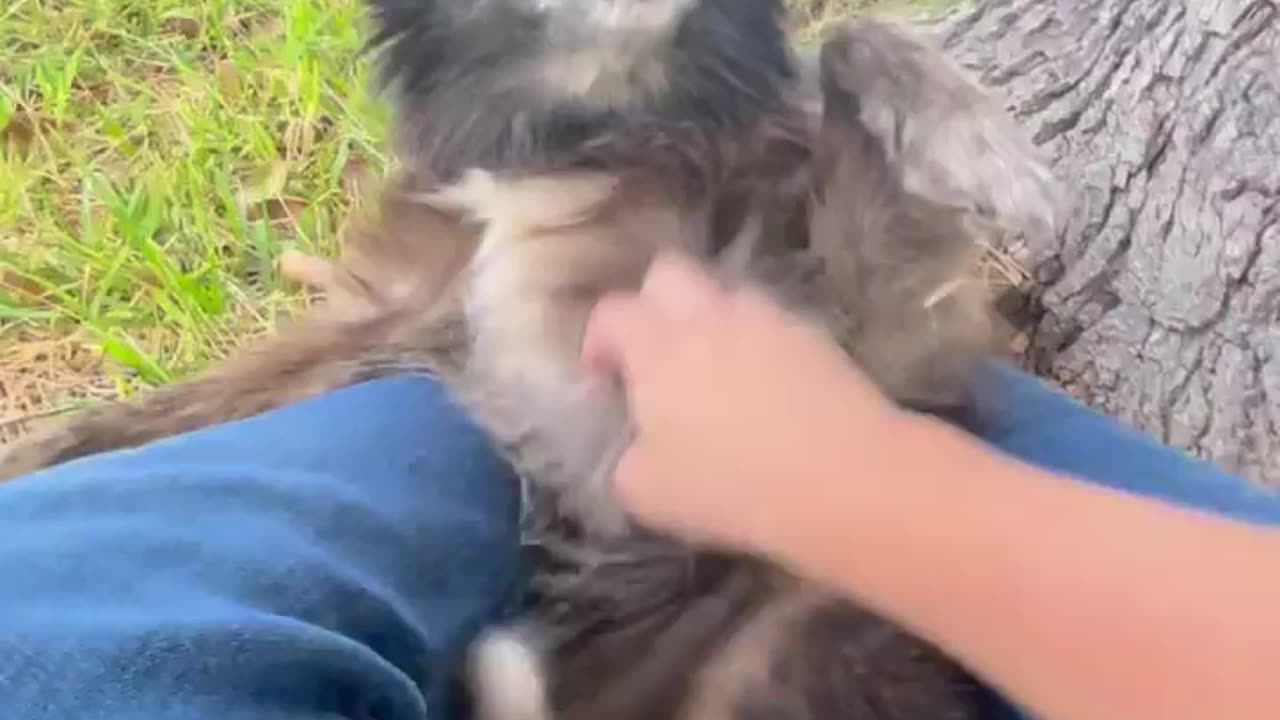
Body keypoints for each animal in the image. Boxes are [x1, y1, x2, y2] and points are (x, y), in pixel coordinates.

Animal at [0, 2, 1059, 712]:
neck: (599, 129)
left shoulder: (877, 326)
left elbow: (854, 39)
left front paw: (978, 143)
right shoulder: (408, 307)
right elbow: (179, 408)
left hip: (782, 642)